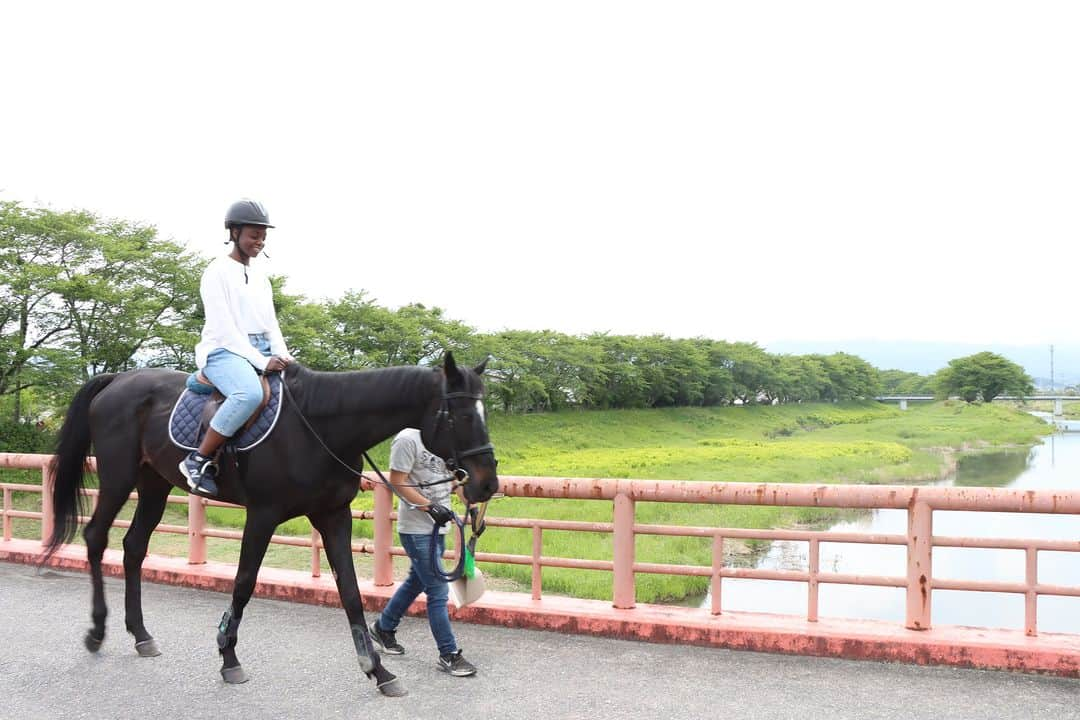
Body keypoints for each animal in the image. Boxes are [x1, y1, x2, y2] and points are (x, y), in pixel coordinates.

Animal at [43, 354, 496, 699]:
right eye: (459, 415)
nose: (488, 483)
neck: (321, 426)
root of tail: (119, 378)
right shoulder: (262, 514)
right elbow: (244, 582)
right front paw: (228, 657)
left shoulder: (334, 516)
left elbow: (350, 592)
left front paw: (377, 670)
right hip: (118, 476)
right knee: (96, 538)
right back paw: (97, 630)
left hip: (153, 483)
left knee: (134, 547)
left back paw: (140, 633)